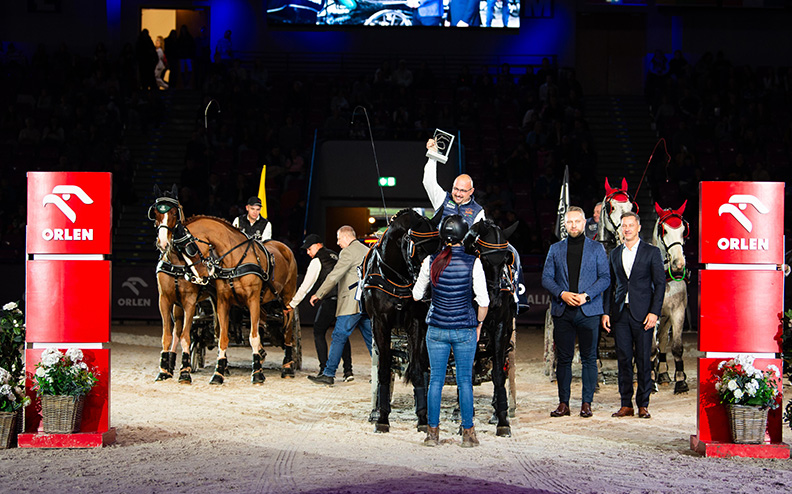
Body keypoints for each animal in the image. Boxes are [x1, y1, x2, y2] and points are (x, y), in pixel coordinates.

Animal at [362, 208, 442, 432]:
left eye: (440, 246)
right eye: (419, 247)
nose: (430, 287)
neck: (395, 278)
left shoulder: (415, 323)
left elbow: (417, 370)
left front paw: (423, 418)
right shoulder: (380, 324)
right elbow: (383, 369)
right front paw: (382, 417)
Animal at [464, 220, 520, 436]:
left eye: (505, 259)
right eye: (484, 259)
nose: (494, 301)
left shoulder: (501, 326)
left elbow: (497, 373)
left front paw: (503, 421)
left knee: (502, 369)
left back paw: (497, 411)